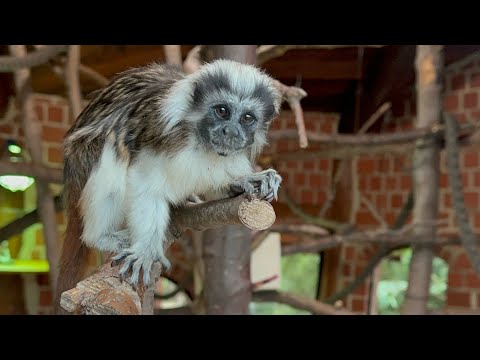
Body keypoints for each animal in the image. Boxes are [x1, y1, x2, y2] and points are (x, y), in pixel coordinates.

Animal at [54, 58, 284, 306]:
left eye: (247, 118)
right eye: (222, 111)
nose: (230, 131)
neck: (201, 143)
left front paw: (246, 182)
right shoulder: (162, 135)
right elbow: (146, 186)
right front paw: (146, 250)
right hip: (82, 161)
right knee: (112, 139)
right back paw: (101, 236)